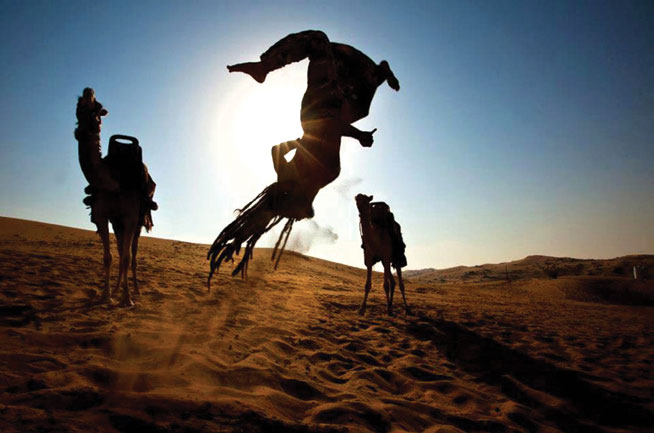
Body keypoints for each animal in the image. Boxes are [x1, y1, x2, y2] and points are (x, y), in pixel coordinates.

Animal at [75, 87, 156, 304]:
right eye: (78, 105)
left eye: (97, 107)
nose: (88, 90)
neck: (113, 182)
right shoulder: (102, 216)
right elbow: (109, 257)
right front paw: (107, 296)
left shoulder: (130, 217)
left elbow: (127, 258)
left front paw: (127, 299)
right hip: (117, 223)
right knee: (120, 250)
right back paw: (119, 287)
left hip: (139, 221)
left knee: (132, 254)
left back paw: (136, 290)